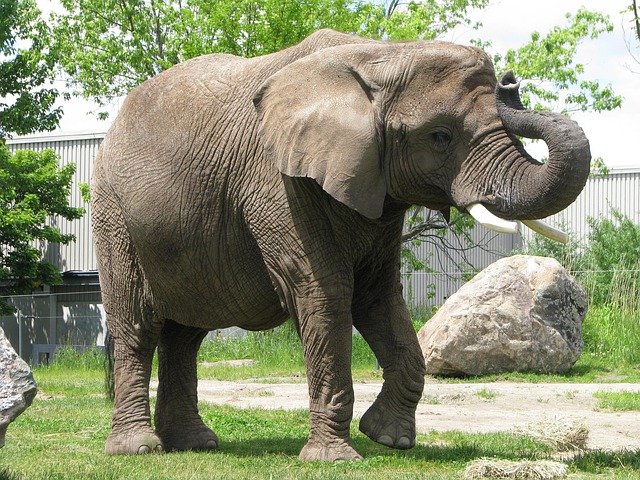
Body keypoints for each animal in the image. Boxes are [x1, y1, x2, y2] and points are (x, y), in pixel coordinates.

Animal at [91, 29, 590, 461]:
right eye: (440, 136)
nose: (510, 83)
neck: (383, 54)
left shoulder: (378, 188)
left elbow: (378, 298)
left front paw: (389, 438)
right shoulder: (279, 183)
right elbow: (324, 293)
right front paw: (335, 458)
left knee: (186, 334)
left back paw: (195, 444)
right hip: (114, 214)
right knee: (138, 327)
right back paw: (138, 449)